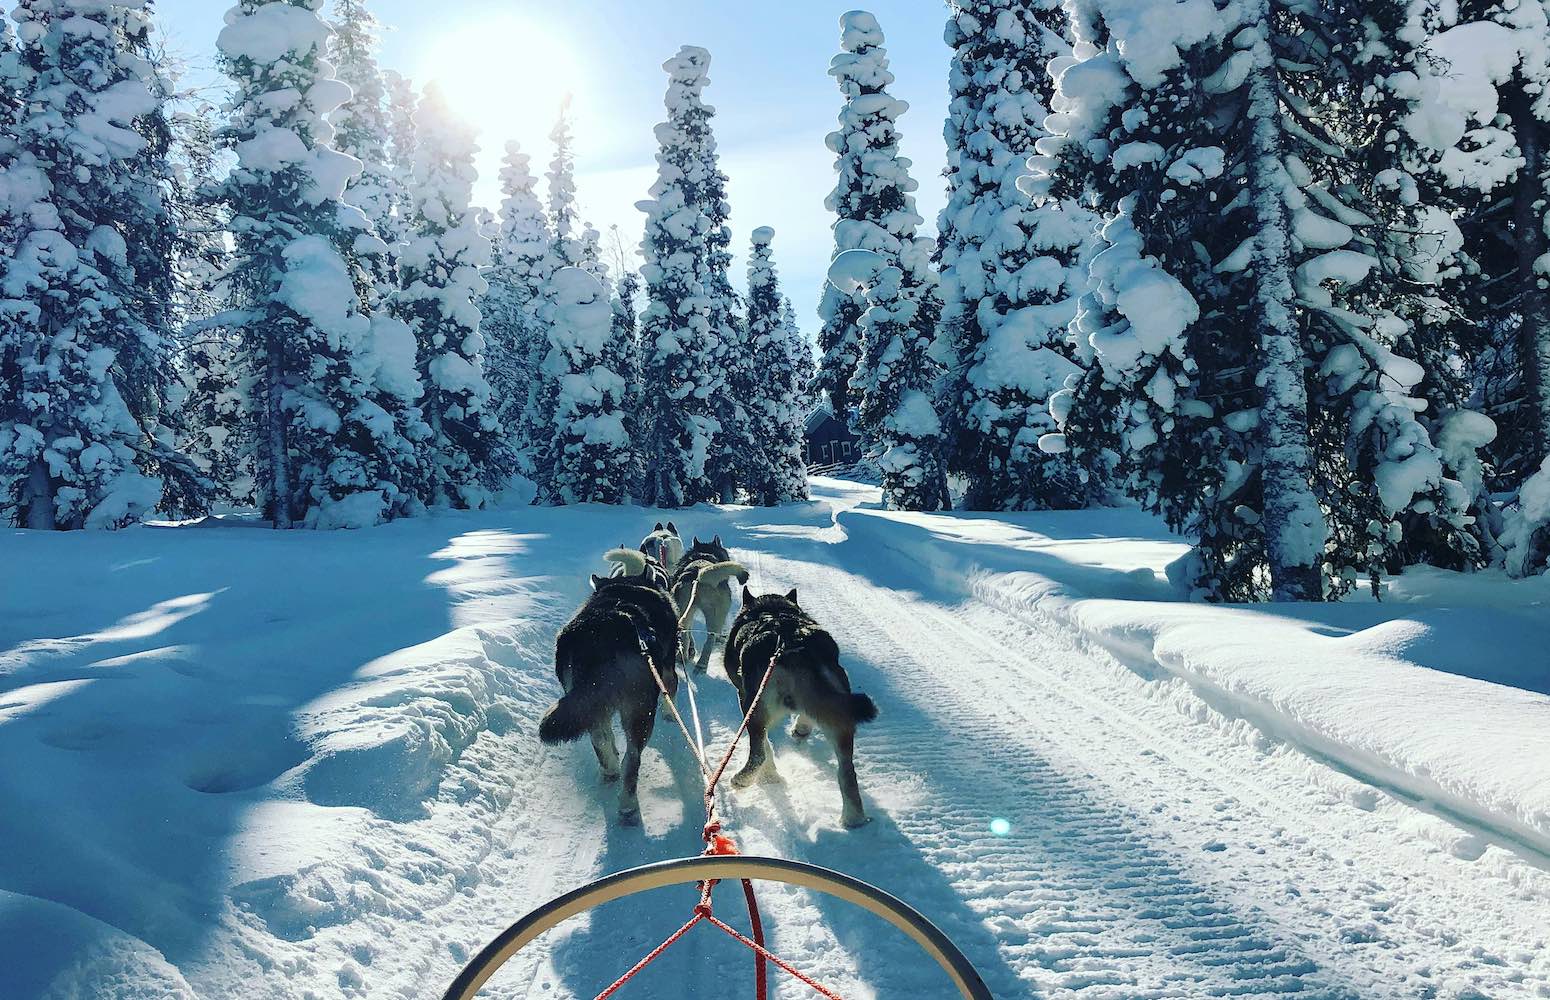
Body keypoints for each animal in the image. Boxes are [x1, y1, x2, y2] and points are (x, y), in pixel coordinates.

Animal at [539, 570, 678, 818]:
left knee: (601, 740)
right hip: (640, 712)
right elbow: (671, 690)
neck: (626, 587)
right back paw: (628, 804)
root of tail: (603, 633)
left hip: (591, 705)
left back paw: (610, 771)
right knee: (632, 758)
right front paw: (670, 713)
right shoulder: (669, 671)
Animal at [672, 533, 750, 675]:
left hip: (684, 612)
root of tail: (699, 574)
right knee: (710, 640)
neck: (704, 555)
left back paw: (683, 658)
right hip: (715, 615)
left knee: (686, 635)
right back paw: (702, 665)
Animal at [722, 586, 880, 824]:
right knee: (847, 772)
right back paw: (853, 819)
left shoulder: (744, 699)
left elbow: (766, 747)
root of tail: (796, 646)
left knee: (759, 752)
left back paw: (744, 779)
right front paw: (801, 728)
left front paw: (769, 777)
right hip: (840, 718)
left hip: (754, 708)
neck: (772, 610)